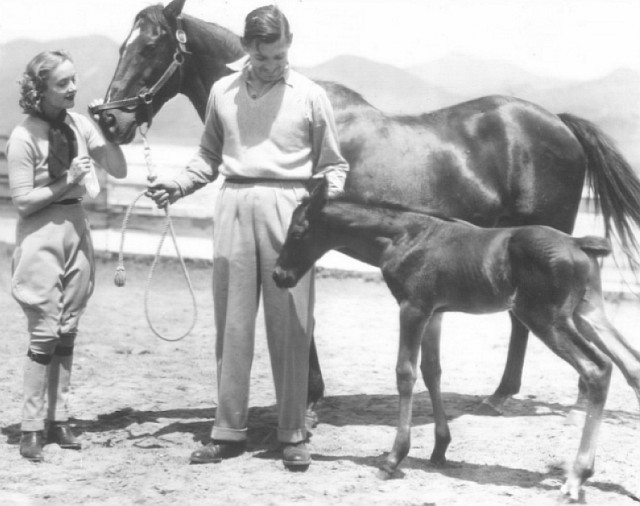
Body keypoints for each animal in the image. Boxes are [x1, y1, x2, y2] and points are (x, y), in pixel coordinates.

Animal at [91, 0, 640, 418]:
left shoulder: (303, 237)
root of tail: (560, 123)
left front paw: (309, 397)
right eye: (121, 45)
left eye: (151, 44)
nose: (110, 120)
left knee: (528, 322)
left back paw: (511, 394)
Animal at [272, 180, 640, 500]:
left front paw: (393, 459)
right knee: (630, 365)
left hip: (547, 318)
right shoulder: (435, 313)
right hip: (588, 312)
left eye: (298, 231)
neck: (403, 236)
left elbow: (406, 373)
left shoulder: (413, 307)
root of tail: (579, 244)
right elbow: (432, 371)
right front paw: (440, 448)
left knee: (597, 369)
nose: (279, 275)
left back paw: (577, 477)